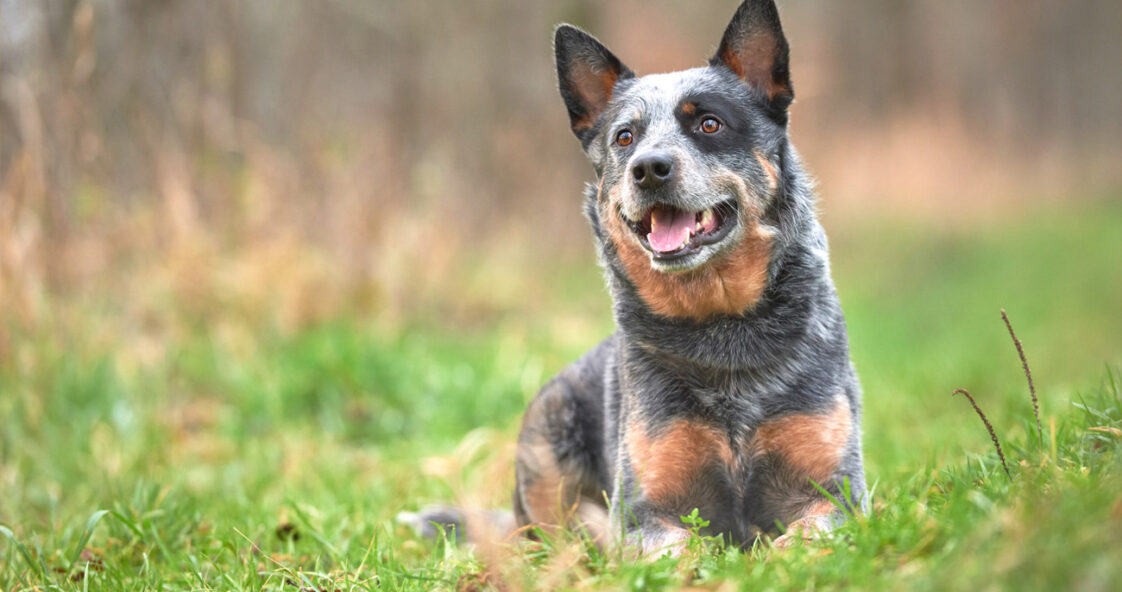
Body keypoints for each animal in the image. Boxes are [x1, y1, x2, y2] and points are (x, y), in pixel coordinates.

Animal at [406, 0, 866, 556]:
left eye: (709, 123)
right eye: (625, 137)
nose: (649, 167)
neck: (721, 327)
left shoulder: (836, 492)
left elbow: (807, 534)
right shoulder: (646, 511)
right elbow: (681, 548)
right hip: (548, 427)